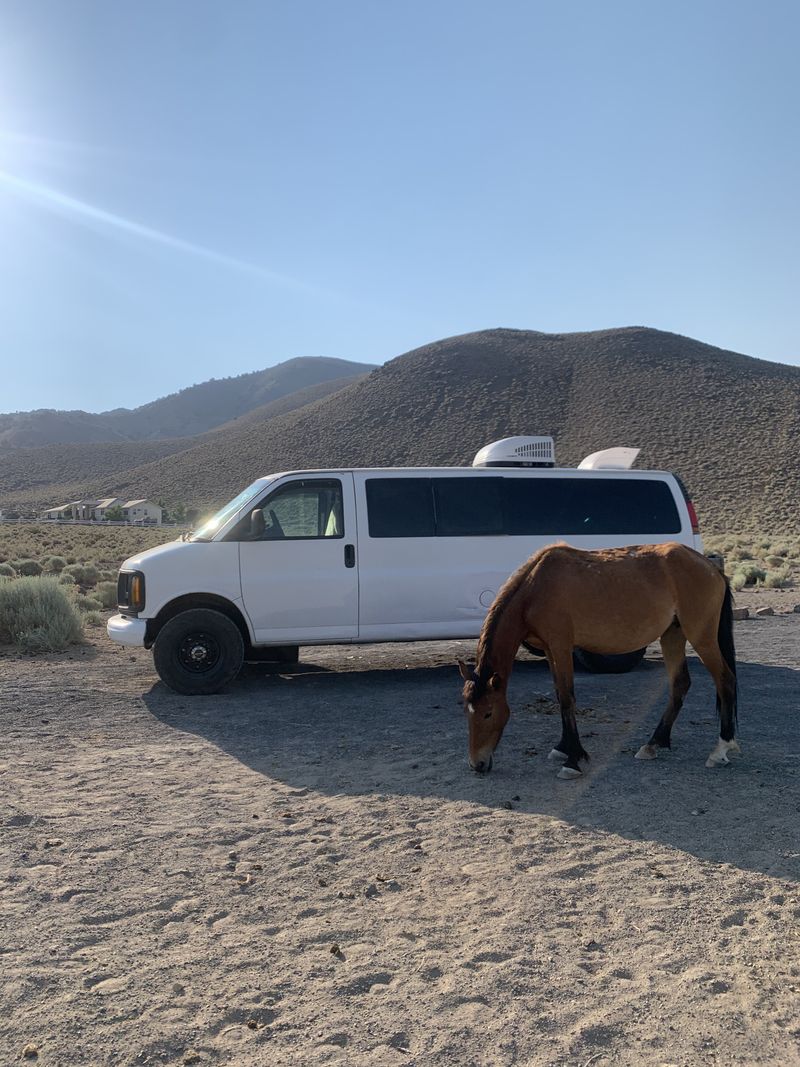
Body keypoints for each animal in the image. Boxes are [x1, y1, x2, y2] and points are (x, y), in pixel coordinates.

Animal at [460, 546, 742, 781]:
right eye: (467, 711)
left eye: (488, 712)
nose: (477, 764)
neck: (536, 587)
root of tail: (711, 567)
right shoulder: (550, 649)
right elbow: (559, 696)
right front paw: (563, 748)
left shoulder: (561, 646)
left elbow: (567, 698)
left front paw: (573, 760)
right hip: (673, 634)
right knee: (680, 684)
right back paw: (653, 744)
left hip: (701, 636)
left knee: (725, 680)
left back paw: (720, 749)